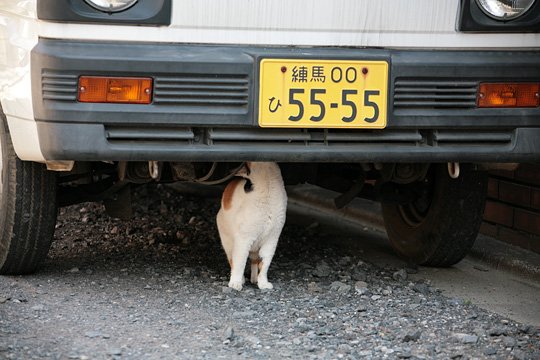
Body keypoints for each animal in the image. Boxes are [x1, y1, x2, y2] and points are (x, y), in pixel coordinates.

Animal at [217, 162, 288, 292]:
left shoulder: (271, 240)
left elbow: (264, 264)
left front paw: (263, 282)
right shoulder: (244, 239)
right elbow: (240, 262)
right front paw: (236, 282)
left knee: (254, 261)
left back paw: (254, 278)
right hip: (228, 242)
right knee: (233, 261)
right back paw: (240, 279)